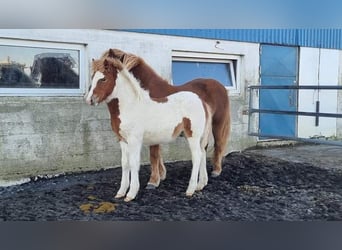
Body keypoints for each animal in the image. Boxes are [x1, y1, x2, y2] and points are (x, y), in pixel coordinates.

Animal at [85, 57, 211, 202]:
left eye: (103, 79)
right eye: (93, 77)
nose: (89, 100)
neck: (130, 106)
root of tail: (201, 101)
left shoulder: (134, 140)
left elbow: (134, 163)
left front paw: (131, 194)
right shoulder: (122, 140)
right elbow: (125, 163)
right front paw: (121, 192)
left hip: (193, 136)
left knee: (196, 156)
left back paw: (190, 189)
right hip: (197, 136)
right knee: (202, 154)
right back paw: (200, 185)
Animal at [100, 48, 231, 188]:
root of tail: (221, 86)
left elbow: (153, 156)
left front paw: (153, 181)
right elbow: (158, 155)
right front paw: (161, 175)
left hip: (217, 124)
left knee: (218, 144)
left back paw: (216, 171)